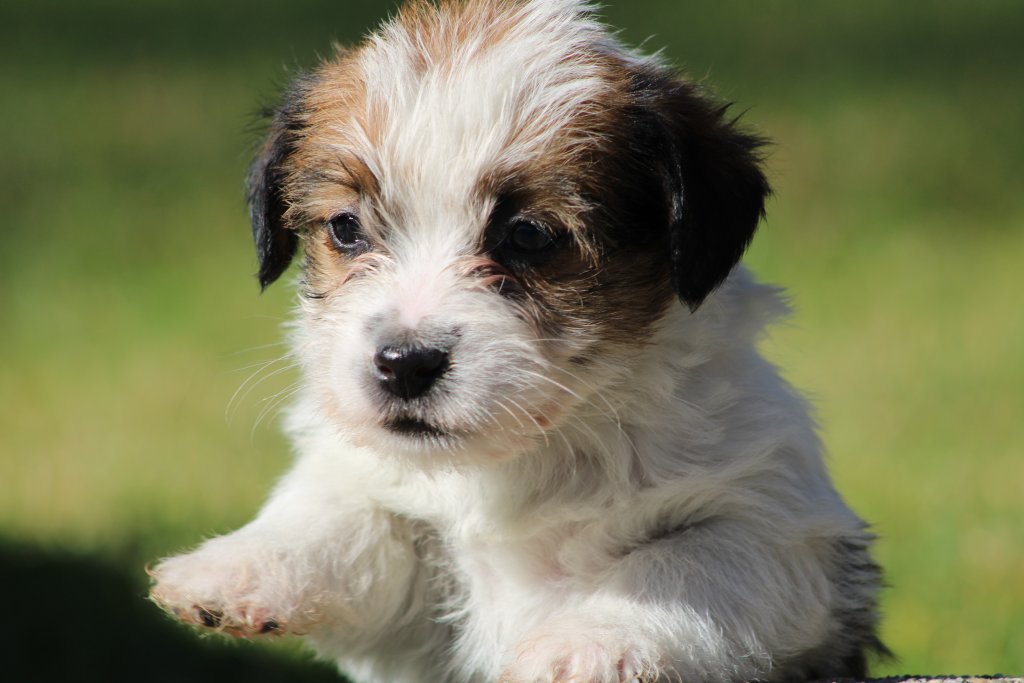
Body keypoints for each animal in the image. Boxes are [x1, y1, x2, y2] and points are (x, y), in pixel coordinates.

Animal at [149, 1, 887, 681]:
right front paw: (236, 565)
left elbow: (680, 564)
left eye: (529, 236)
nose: (403, 364)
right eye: (346, 228)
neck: (528, 457)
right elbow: (345, 519)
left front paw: (589, 642)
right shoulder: (411, 591)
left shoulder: (773, 524)